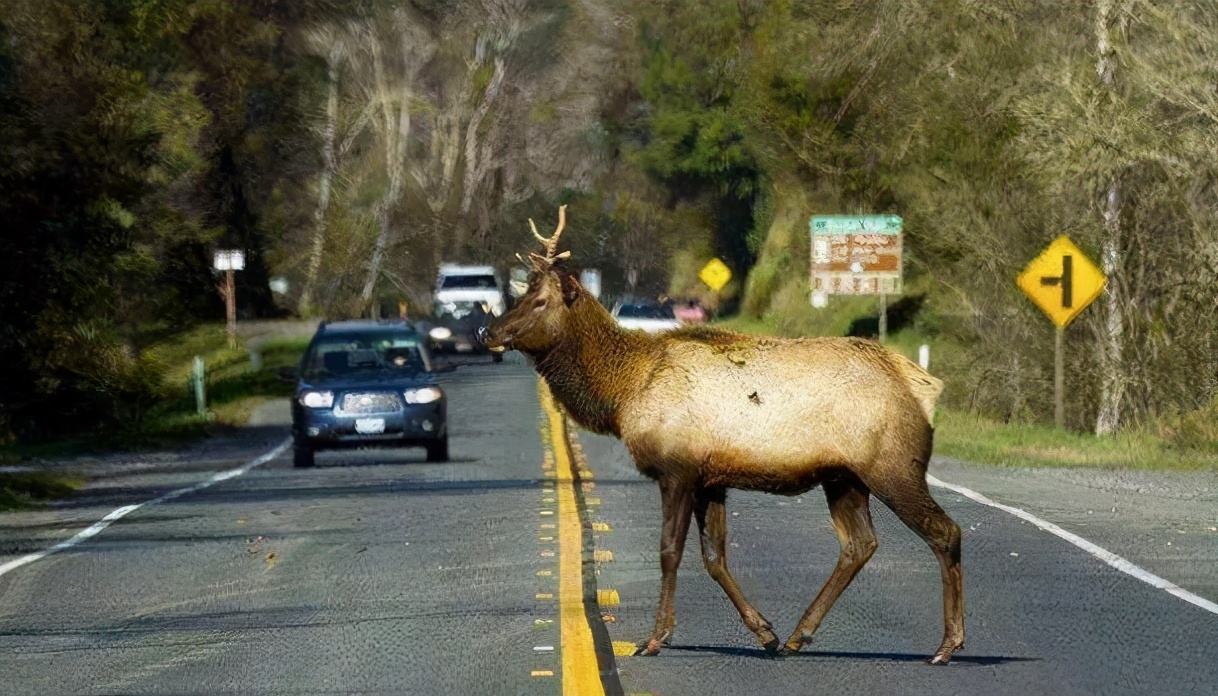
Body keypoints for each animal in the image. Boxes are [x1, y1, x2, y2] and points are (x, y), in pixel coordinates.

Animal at [479, 205, 964, 663]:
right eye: (522, 292)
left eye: (540, 300)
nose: (488, 330)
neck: (622, 393)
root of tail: (925, 388)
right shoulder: (710, 479)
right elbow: (714, 557)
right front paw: (764, 632)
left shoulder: (676, 469)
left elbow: (669, 550)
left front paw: (655, 638)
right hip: (843, 477)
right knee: (859, 544)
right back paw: (798, 635)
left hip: (892, 465)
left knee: (944, 530)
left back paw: (948, 644)